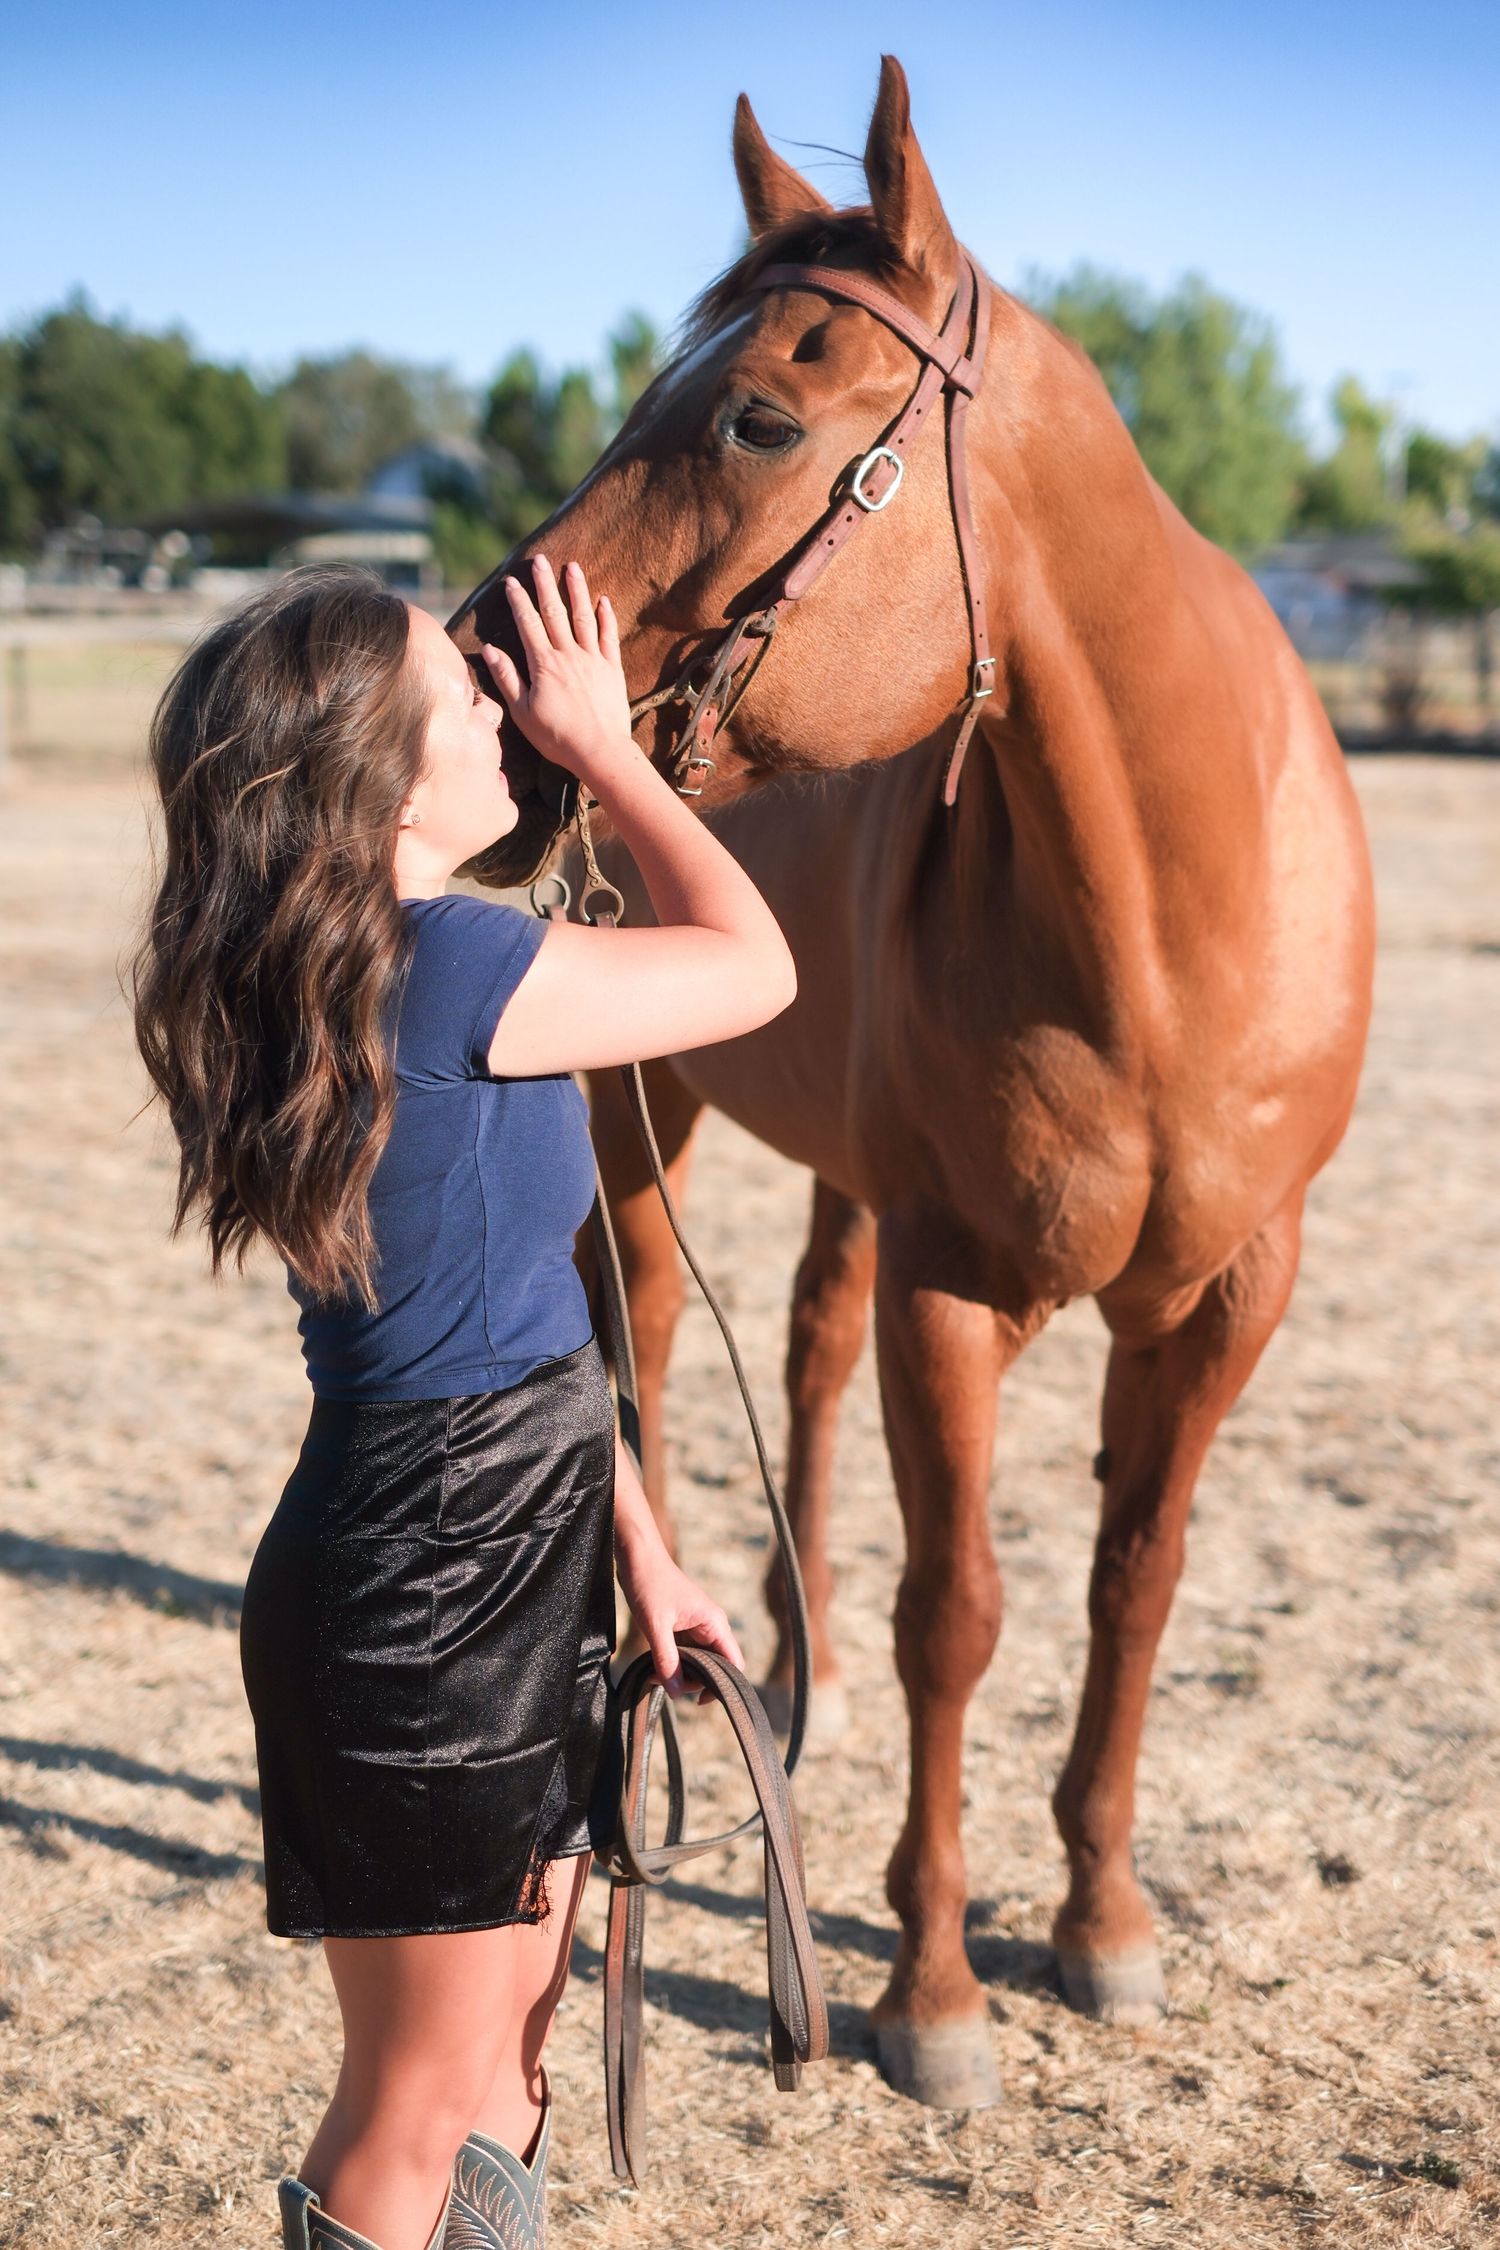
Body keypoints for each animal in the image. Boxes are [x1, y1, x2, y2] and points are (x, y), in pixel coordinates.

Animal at [450, 55, 1376, 2109]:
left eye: (759, 416)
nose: (475, 666)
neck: (1178, 917)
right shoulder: (960, 1294)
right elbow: (958, 1615)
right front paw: (935, 1993)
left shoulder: (1233, 1293)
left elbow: (1133, 1581)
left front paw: (1102, 1921)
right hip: (649, 1112)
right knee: (648, 1347)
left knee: (796, 1350)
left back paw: (788, 1679)